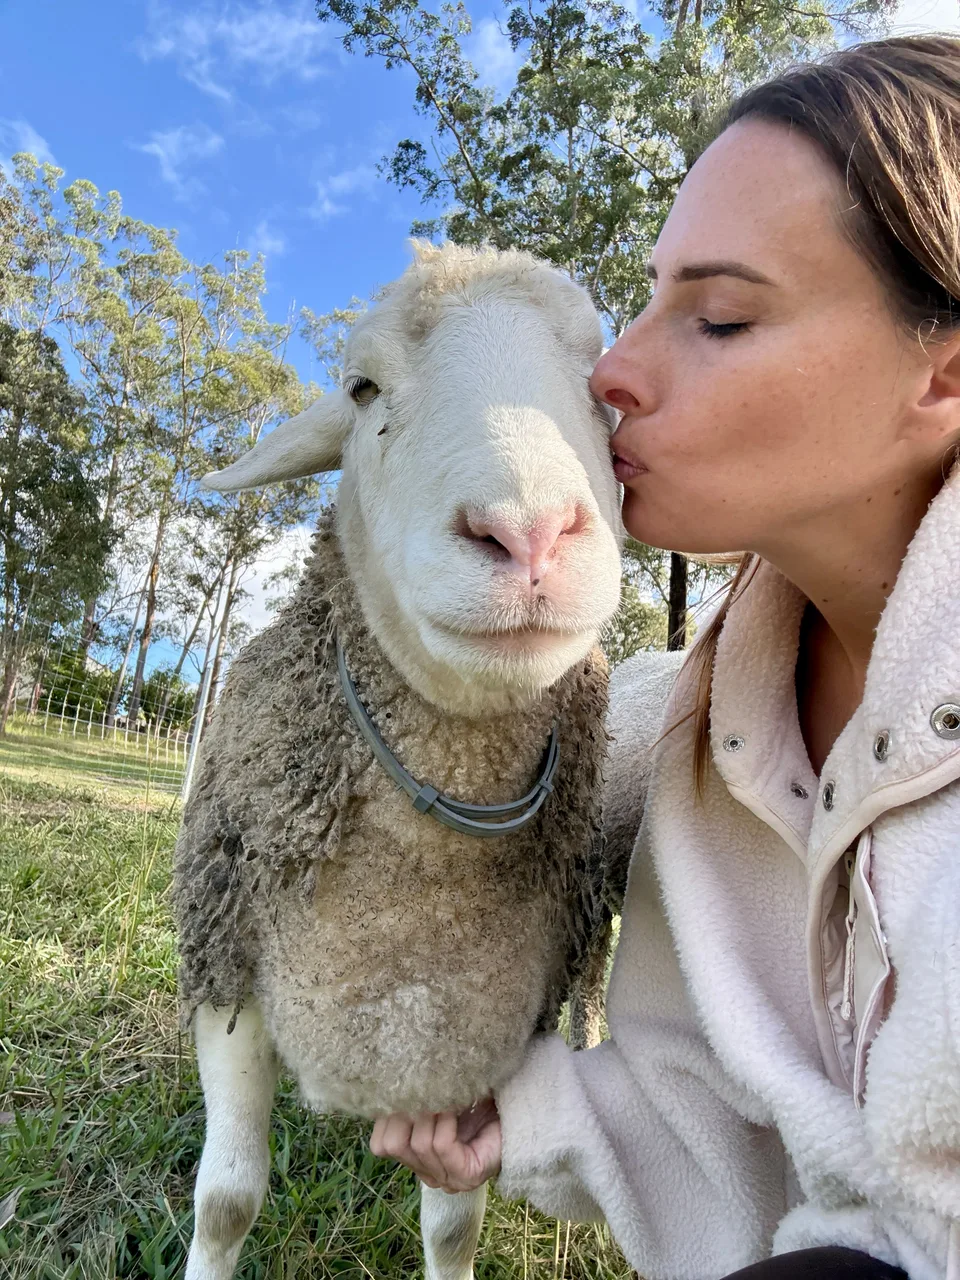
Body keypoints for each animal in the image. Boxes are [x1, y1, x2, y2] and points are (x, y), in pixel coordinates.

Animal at [172, 240, 624, 1280]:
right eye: (362, 387)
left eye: (603, 390)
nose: (529, 536)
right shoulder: (228, 977)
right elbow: (226, 1201)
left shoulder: (468, 1027)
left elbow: (454, 1223)